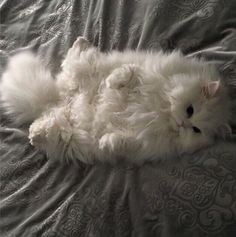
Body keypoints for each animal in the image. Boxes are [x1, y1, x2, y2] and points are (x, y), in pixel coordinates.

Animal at [0, 37, 231, 164]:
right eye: (190, 110)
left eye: (196, 130)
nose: (182, 124)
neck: (161, 111)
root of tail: (57, 101)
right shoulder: (148, 74)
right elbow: (129, 72)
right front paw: (112, 83)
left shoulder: (144, 144)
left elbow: (123, 141)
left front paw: (105, 143)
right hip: (85, 68)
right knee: (76, 55)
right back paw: (81, 41)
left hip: (67, 136)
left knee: (48, 128)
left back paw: (36, 134)